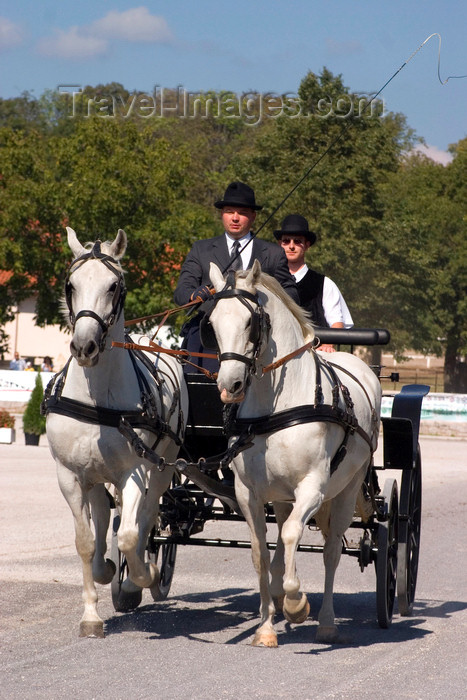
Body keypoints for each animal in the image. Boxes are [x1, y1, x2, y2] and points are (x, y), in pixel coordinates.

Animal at [45, 227, 188, 636]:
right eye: (71, 285)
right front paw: (92, 614)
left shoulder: (135, 471)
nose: (84, 346)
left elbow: (128, 535)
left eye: (113, 286)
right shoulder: (70, 476)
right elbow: (85, 542)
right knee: (105, 516)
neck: (97, 401)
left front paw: (141, 576)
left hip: (163, 467)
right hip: (95, 475)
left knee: (148, 517)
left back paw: (144, 571)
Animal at [207, 260, 382, 648]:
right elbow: (260, 552)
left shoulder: (313, 488)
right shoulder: (249, 493)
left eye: (250, 322)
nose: (229, 386)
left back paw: (327, 622)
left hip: (346, 490)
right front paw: (266, 626)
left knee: (330, 552)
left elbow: (290, 536)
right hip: (282, 496)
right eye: (211, 322)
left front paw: (295, 603)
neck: (277, 409)